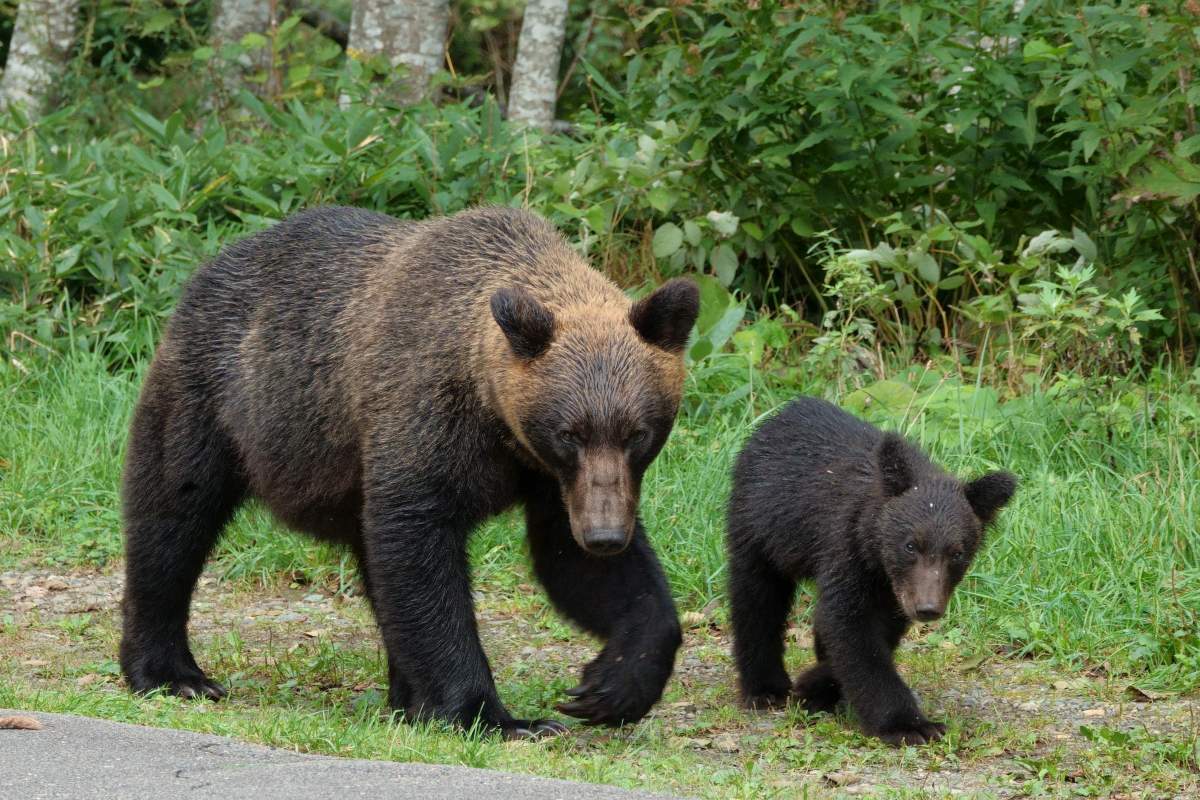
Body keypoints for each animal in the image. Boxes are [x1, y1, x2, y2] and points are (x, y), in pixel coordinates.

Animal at [118, 205, 699, 740]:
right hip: (217, 398)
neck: (497, 419)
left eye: (637, 433)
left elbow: (575, 564)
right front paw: (496, 715)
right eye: (569, 433)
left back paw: (406, 698)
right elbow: (421, 550)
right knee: (173, 515)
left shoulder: (555, 481)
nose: (605, 535)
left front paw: (611, 685)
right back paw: (172, 672)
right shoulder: (426, 419)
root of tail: (209, 266)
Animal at [725, 396, 1016, 746]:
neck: (877, 556)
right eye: (910, 545)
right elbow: (853, 630)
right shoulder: (846, 549)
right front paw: (910, 724)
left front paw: (817, 686)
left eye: (957, 553)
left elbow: (872, 630)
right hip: (760, 527)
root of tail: (778, 416)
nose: (927, 608)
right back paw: (765, 688)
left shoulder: (893, 590)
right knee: (757, 599)